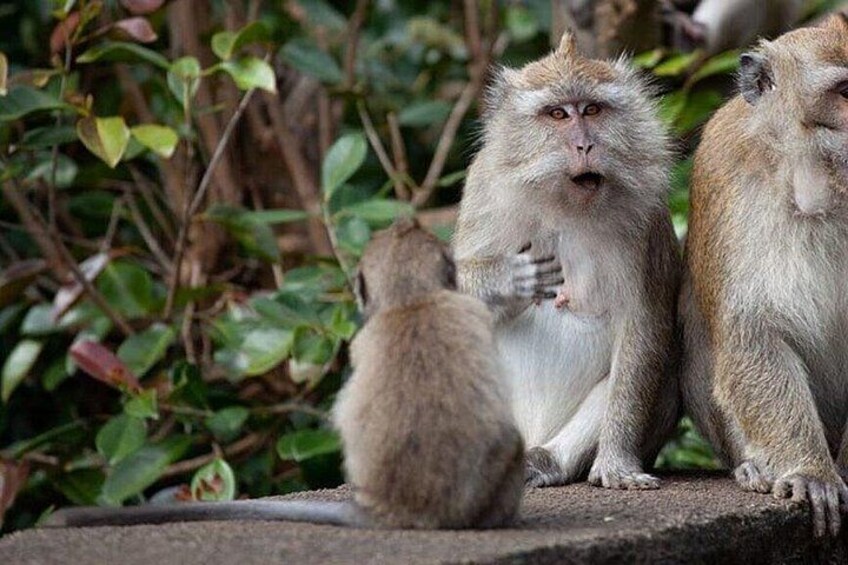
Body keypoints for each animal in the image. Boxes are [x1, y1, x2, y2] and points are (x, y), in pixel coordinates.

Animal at [453, 31, 681, 491]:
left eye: (591, 109)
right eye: (557, 114)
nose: (584, 144)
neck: (563, 204)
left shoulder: (646, 214)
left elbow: (642, 326)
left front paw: (616, 463)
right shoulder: (483, 187)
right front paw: (506, 278)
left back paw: (545, 462)